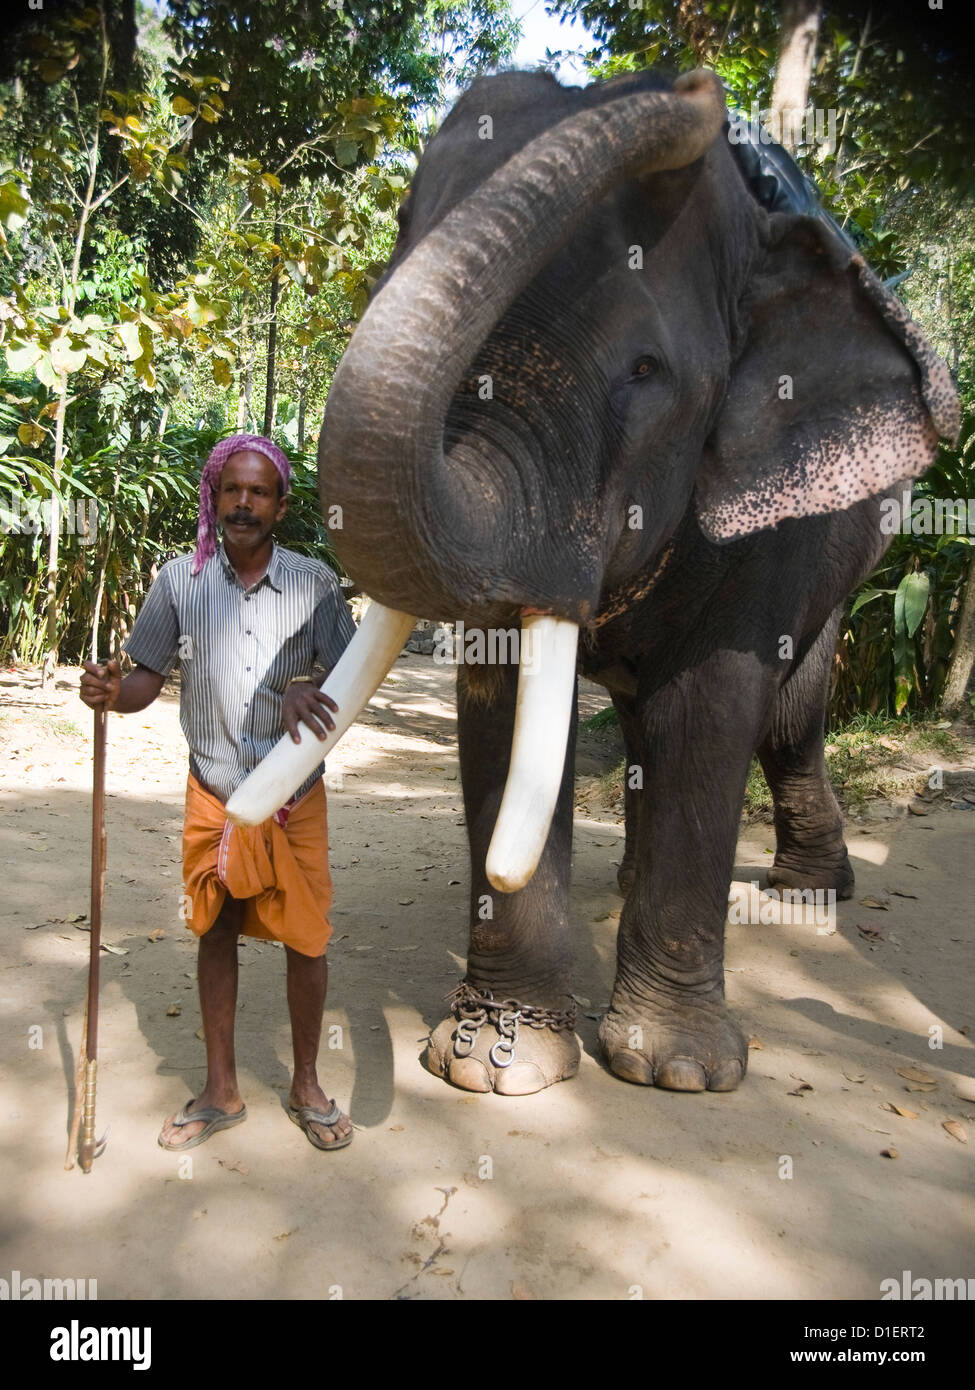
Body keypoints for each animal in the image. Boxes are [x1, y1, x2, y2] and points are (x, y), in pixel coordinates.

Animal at [229, 67, 956, 1095]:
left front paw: (676, 1071)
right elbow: (505, 706)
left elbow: (712, 706)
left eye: (646, 370)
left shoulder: (765, 506)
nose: (695, 85)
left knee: (782, 718)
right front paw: (494, 1063)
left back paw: (805, 892)